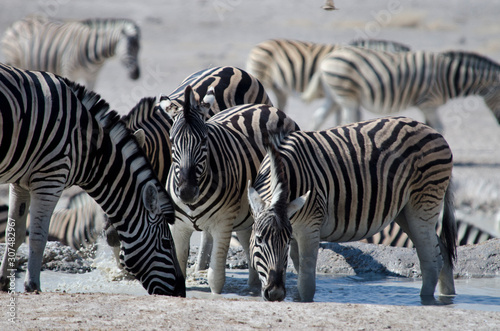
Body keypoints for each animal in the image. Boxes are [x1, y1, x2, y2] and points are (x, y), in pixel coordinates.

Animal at [0, 63, 185, 296]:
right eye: (166, 242)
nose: (181, 292)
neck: (86, 144)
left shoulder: (21, 182)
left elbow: (14, 233)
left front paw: (4, 281)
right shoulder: (50, 179)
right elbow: (37, 236)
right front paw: (32, 285)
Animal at [2, 15, 142, 89]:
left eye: (139, 49)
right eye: (129, 48)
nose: (136, 75)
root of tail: (17, 23)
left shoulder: (92, 77)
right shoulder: (69, 73)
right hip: (12, 59)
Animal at [247, 117, 458, 304]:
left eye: (283, 242)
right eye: (259, 239)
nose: (275, 293)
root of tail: (433, 131)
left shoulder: (310, 227)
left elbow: (306, 281)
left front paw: (306, 302)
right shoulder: (295, 228)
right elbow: (298, 271)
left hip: (422, 204)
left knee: (432, 259)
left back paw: (426, 302)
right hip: (405, 212)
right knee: (443, 253)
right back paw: (447, 298)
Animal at [304, 45, 500, 134]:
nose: (499, 122)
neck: (450, 75)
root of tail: (326, 59)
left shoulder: (428, 106)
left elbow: (431, 125)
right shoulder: (428, 102)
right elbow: (438, 126)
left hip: (333, 95)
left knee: (319, 116)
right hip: (346, 94)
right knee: (348, 119)